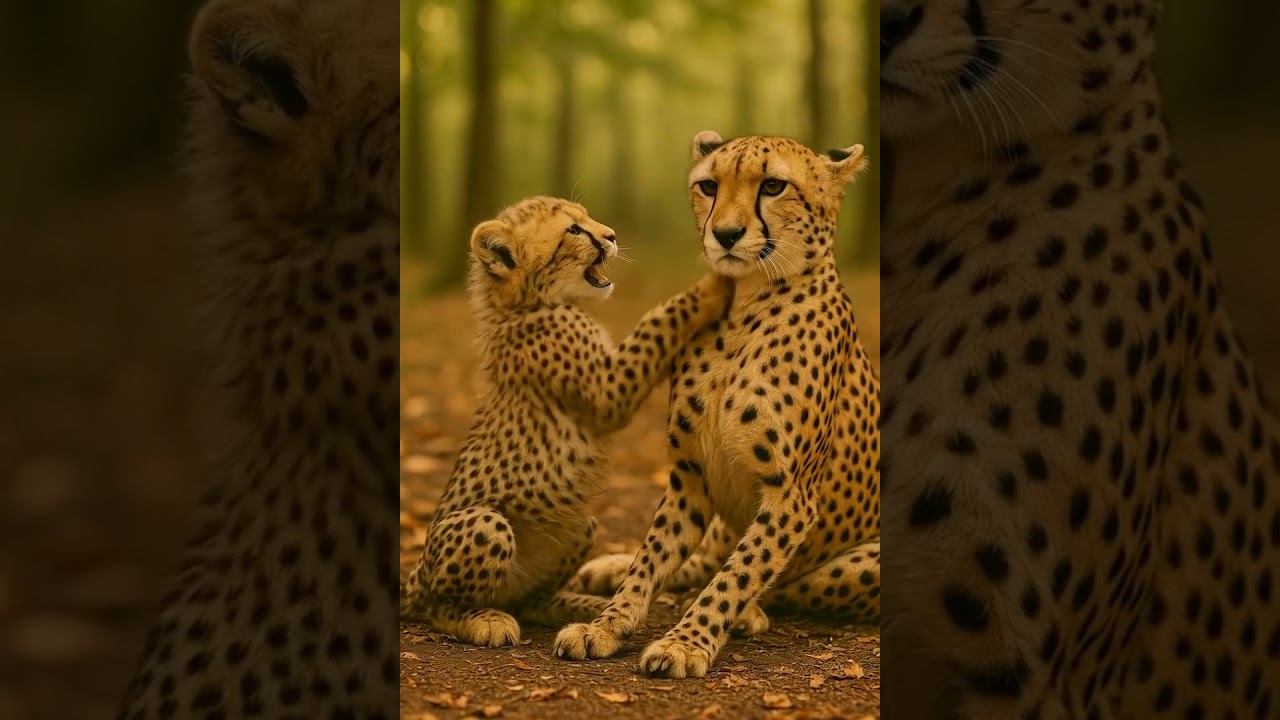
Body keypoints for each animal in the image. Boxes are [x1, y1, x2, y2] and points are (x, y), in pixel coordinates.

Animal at [398, 196, 733, 647]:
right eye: (572, 230)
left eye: (586, 217)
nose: (611, 235)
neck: (522, 306)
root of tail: (415, 577)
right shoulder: (610, 388)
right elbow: (659, 319)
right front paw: (712, 285)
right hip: (485, 525)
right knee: (441, 607)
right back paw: (484, 619)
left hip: (578, 524)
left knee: (530, 600)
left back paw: (580, 606)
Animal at [554, 131, 881, 679]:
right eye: (709, 186)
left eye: (773, 185)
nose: (725, 234)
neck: (744, 306)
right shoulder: (690, 478)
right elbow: (652, 558)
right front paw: (607, 625)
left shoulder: (791, 496)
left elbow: (738, 574)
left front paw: (686, 642)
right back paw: (608, 567)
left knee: (786, 581)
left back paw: (750, 612)